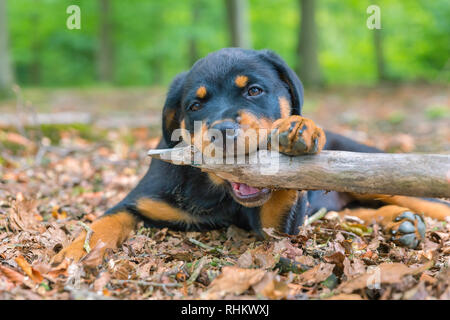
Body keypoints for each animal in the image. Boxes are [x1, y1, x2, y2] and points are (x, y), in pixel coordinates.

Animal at [51, 48, 446, 264]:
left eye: (254, 90)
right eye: (195, 105)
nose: (223, 131)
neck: (215, 193)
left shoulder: (277, 226)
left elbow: (282, 192)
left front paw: (301, 129)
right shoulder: (138, 203)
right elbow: (102, 223)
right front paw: (75, 252)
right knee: (354, 213)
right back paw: (400, 224)